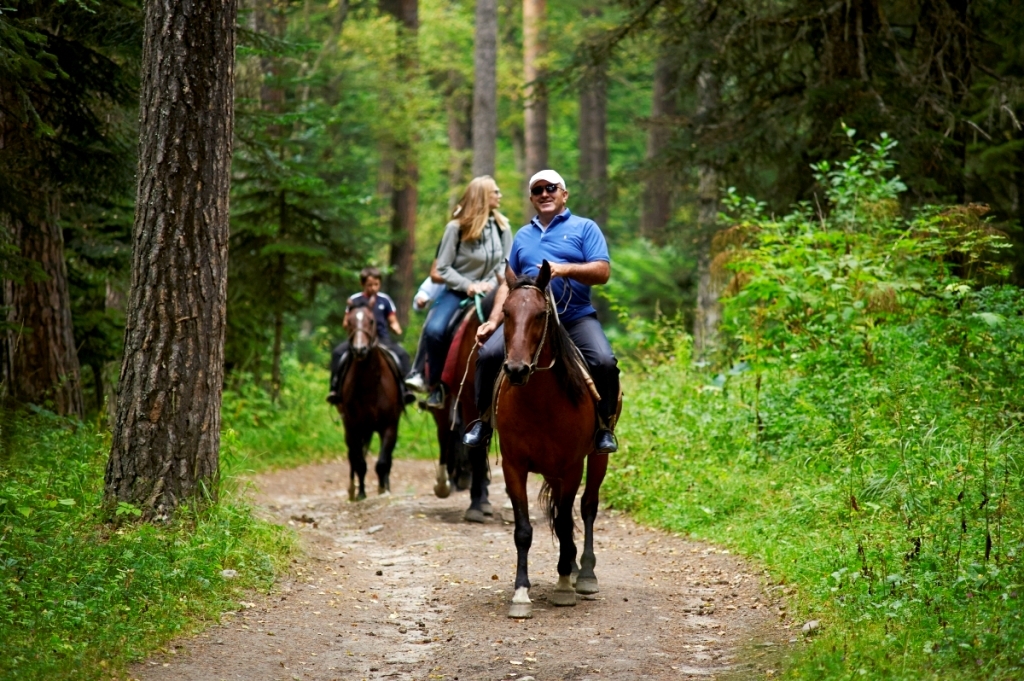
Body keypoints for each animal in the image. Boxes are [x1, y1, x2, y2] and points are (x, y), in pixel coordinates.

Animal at [333, 303, 401, 499]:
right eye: (349, 321)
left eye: (371, 321)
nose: (359, 349)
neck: (370, 385)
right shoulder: (353, 427)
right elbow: (359, 462)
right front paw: (361, 493)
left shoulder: (389, 426)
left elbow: (383, 462)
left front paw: (383, 489)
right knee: (353, 456)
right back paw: (353, 489)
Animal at [491, 259, 610, 614]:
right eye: (505, 312)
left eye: (540, 314)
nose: (516, 370)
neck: (541, 402)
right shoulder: (514, 467)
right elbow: (524, 530)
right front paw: (520, 593)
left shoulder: (571, 467)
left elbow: (568, 521)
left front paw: (564, 587)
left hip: (596, 459)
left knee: (587, 507)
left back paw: (583, 573)